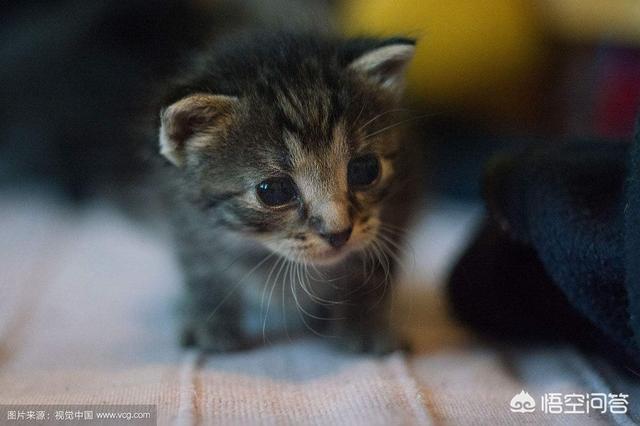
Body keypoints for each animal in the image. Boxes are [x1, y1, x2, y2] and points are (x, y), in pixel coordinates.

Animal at [158, 31, 422, 354]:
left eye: (365, 170)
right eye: (274, 191)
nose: (338, 233)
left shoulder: (401, 201)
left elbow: (371, 267)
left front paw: (364, 322)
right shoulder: (185, 218)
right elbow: (202, 268)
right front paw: (211, 321)